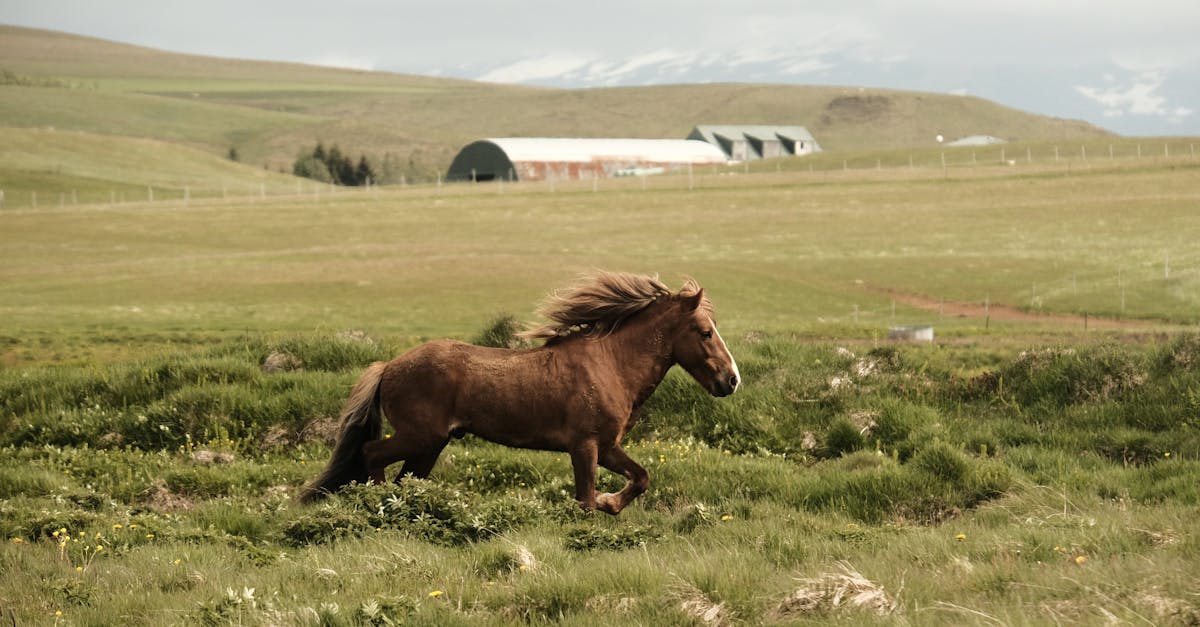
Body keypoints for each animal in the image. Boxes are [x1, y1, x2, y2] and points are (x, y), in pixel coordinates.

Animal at [297, 271, 740, 514]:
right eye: (705, 332)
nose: (732, 380)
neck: (610, 364)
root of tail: (388, 367)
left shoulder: (607, 446)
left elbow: (642, 477)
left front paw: (611, 503)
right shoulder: (585, 446)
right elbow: (586, 499)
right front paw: (604, 505)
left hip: (430, 446)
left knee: (406, 478)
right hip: (421, 437)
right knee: (372, 454)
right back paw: (378, 504)